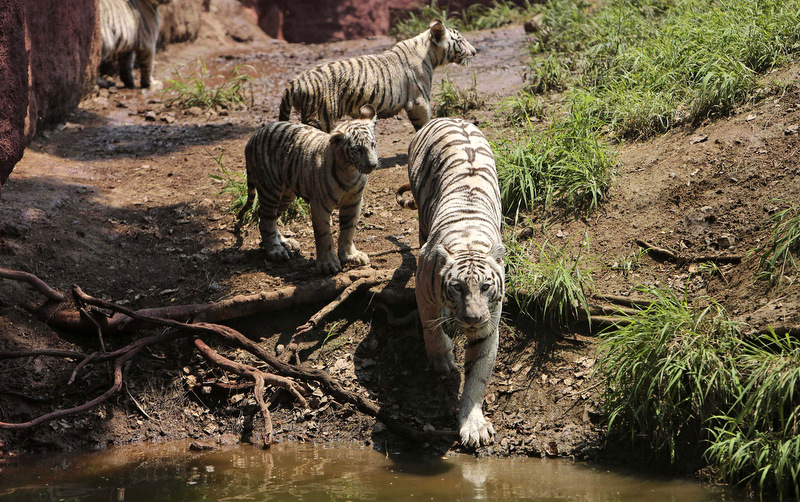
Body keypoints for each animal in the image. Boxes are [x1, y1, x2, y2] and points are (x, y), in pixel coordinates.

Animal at [238, 103, 378, 274]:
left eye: (373, 145)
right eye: (357, 150)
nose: (373, 164)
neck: (350, 172)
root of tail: (254, 136)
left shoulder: (354, 202)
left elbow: (348, 230)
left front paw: (350, 255)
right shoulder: (319, 205)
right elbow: (324, 235)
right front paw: (327, 264)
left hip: (286, 195)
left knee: (271, 217)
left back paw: (285, 242)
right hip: (270, 190)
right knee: (266, 219)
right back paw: (276, 250)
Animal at [280, 19, 476, 133]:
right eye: (460, 41)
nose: (475, 52)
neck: (429, 53)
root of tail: (295, 82)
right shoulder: (419, 100)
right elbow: (424, 123)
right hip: (319, 116)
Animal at [410, 116, 504, 448]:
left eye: (486, 287)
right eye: (457, 288)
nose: (473, 318)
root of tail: (449, 117)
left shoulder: (489, 325)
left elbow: (477, 376)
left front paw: (473, 425)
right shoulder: (423, 288)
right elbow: (430, 328)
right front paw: (442, 361)